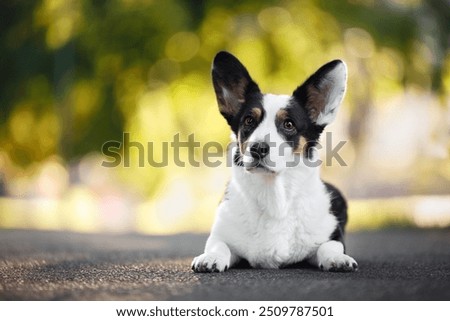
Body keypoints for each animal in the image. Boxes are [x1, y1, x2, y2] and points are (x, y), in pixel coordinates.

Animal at [192, 51, 356, 272]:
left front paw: (338, 259)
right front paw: (210, 258)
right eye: (248, 121)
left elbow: (329, 246)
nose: (258, 149)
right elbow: (218, 245)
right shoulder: (220, 235)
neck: (273, 198)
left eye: (288, 124)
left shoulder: (333, 235)